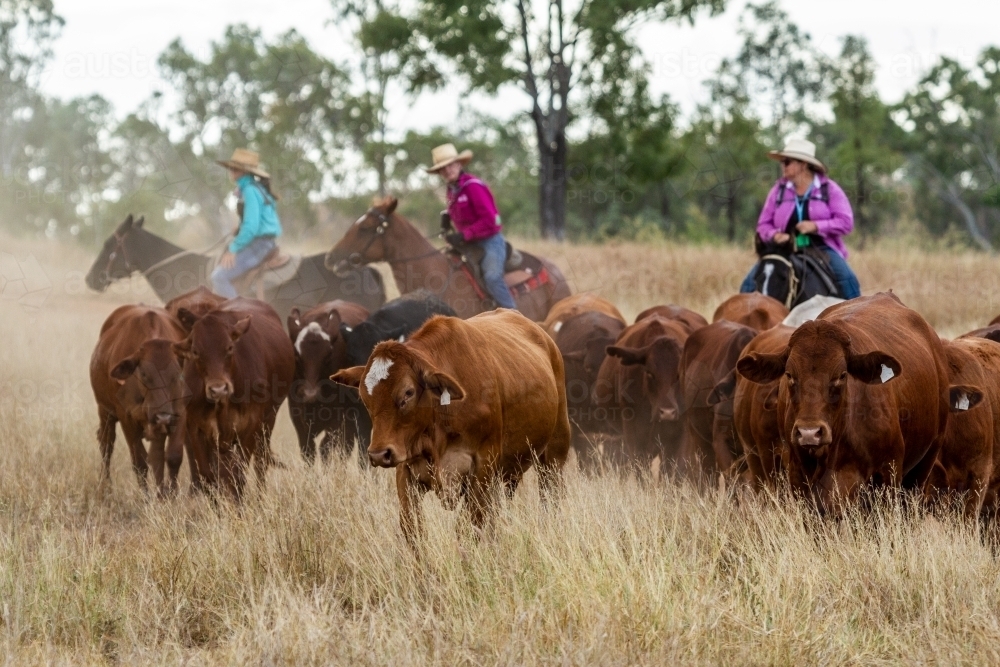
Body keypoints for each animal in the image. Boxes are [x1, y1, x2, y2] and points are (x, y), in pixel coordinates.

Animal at [90, 305, 188, 496]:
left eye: (177, 375)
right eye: (143, 374)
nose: (162, 416)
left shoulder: (179, 413)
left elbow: (173, 456)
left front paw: (170, 495)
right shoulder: (126, 419)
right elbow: (140, 461)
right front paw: (146, 496)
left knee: (157, 455)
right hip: (104, 412)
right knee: (106, 444)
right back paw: (105, 485)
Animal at [174, 297, 295, 499]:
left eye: (230, 347)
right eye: (196, 351)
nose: (218, 389)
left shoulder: (249, 428)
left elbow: (238, 476)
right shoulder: (196, 428)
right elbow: (209, 476)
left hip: (268, 421)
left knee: (260, 464)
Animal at [287, 300, 371, 465]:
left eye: (328, 355)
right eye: (297, 355)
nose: (310, 394)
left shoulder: (338, 423)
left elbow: (326, 449)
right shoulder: (298, 420)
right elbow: (308, 452)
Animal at [331, 310, 571, 544]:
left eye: (408, 392)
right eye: (365, 397)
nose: (379, 454)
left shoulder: (482, 469)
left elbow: (467, 529)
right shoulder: (406, 472)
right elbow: (413, 530)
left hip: (553, 456)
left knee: (550, 498)